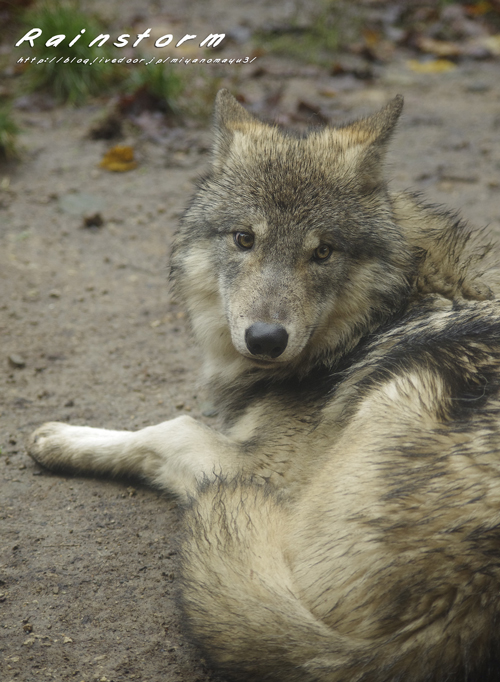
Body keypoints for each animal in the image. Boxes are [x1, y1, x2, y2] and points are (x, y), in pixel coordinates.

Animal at [28, 91, 500, 680]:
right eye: (244, 239)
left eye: (323, 251)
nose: (266, 339)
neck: (382, 314)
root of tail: (449, 616)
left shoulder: (267, 469)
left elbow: (165, 429)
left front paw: (61, 439)